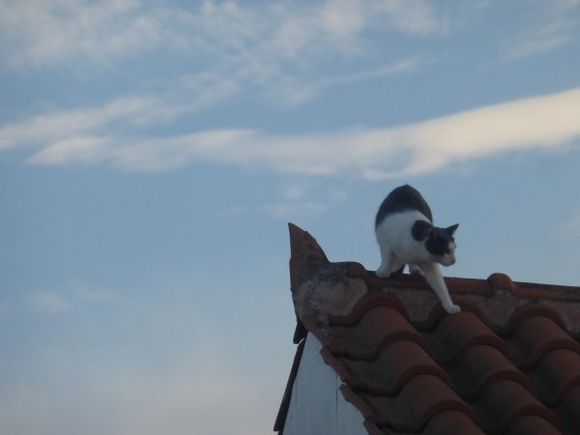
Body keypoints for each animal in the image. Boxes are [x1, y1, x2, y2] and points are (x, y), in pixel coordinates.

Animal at [376, 184, 462, 314]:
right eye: (446, 250)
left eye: (454, 250)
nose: (454, 260)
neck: (417, 251)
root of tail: (406, 185)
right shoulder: (386, 243)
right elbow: (387, 258)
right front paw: (383, 272)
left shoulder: (431, 266)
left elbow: (441, 287)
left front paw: (450, 307)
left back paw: (414, 268)